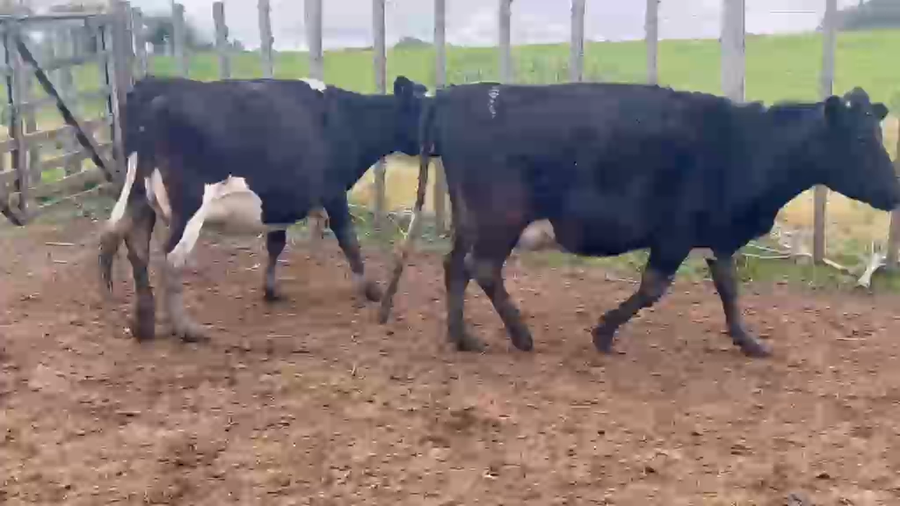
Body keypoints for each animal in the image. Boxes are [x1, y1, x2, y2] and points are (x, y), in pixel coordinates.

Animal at [99, 75, 428, 343]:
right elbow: (349, 241)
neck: (345, 119)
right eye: (429, 110)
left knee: (131, 243)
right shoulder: (333, 193)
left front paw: (271, 290)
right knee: (170, 258)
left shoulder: (279, 201)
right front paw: (372, 290)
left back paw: (142, 323)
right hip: (189, 207)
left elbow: (275, 243)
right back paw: (187, 329)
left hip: (140, 195)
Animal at [378, 83, 900, 358]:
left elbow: (729, 288)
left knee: (455, 266)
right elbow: (652, 289)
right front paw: (604, 332)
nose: (895, 191)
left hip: (472, 217)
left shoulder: (716, 235)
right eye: (859, 140)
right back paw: (520, 335)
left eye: (877, 133)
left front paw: (748, 341)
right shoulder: (674, 234)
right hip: (501, 216)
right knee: (482, 268)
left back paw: (462, 335)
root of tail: (460, 93)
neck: (745, 143)